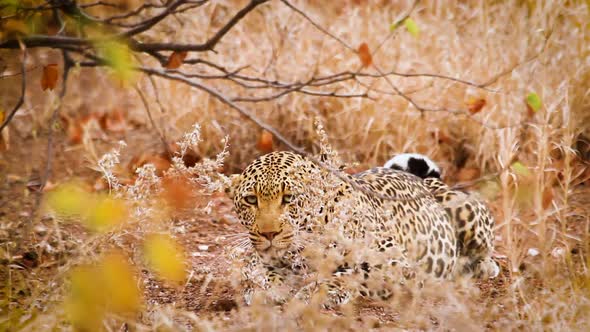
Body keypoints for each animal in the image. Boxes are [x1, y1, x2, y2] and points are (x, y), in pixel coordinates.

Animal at [229, 151, 460, 306]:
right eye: (251, 200)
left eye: (289, 198)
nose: (269, 233)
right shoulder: (261, 259)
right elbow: (261, 273)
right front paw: (266, 289)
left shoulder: (396, 263)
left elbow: (351, 275)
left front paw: (315, 293)